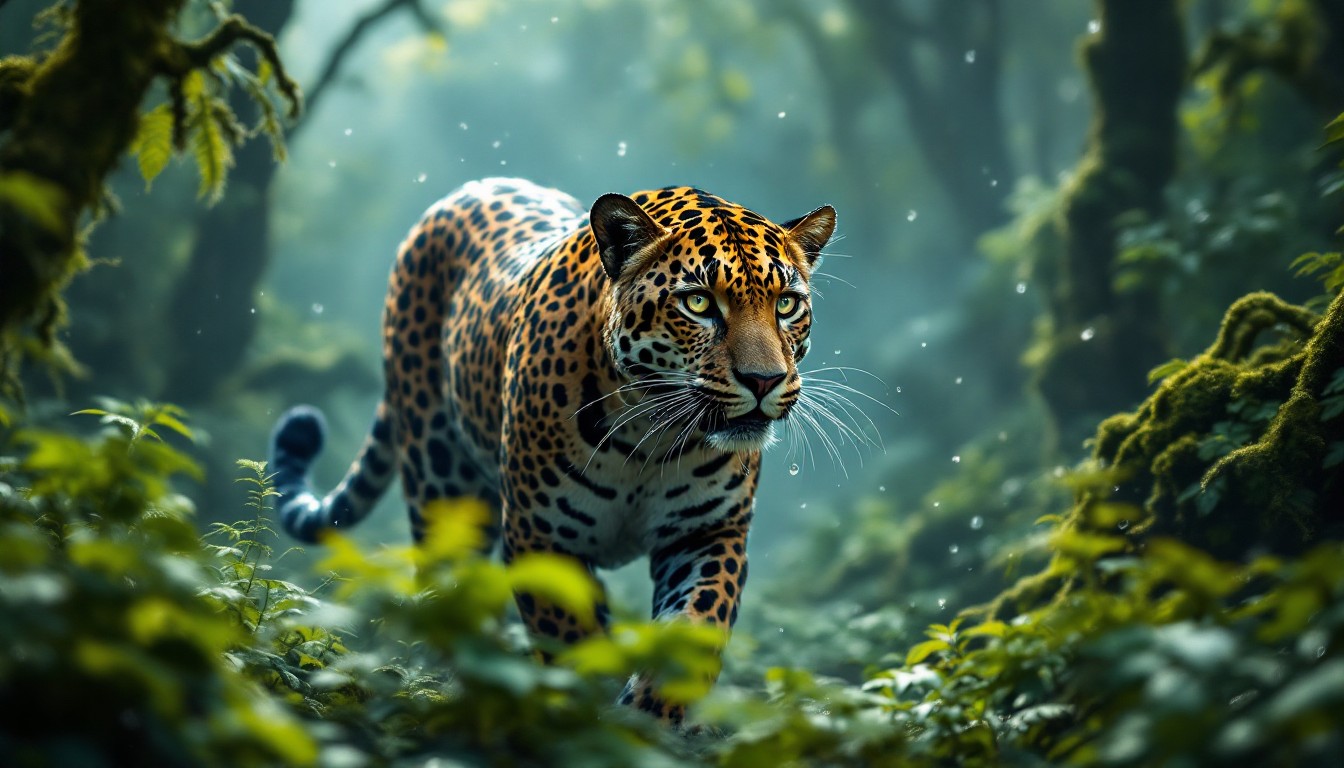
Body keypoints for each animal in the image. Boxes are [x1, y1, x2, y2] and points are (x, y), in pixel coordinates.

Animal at [268, 177, 836, 724]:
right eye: (698, 303)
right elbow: (571, 645)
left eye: (786, 304)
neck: (649, 437)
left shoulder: (708, 531)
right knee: (451, 596)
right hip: (442, 486)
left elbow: (695, 627)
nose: (764, 380)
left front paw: (651, 719)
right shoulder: (539, 537)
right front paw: (588, 719)